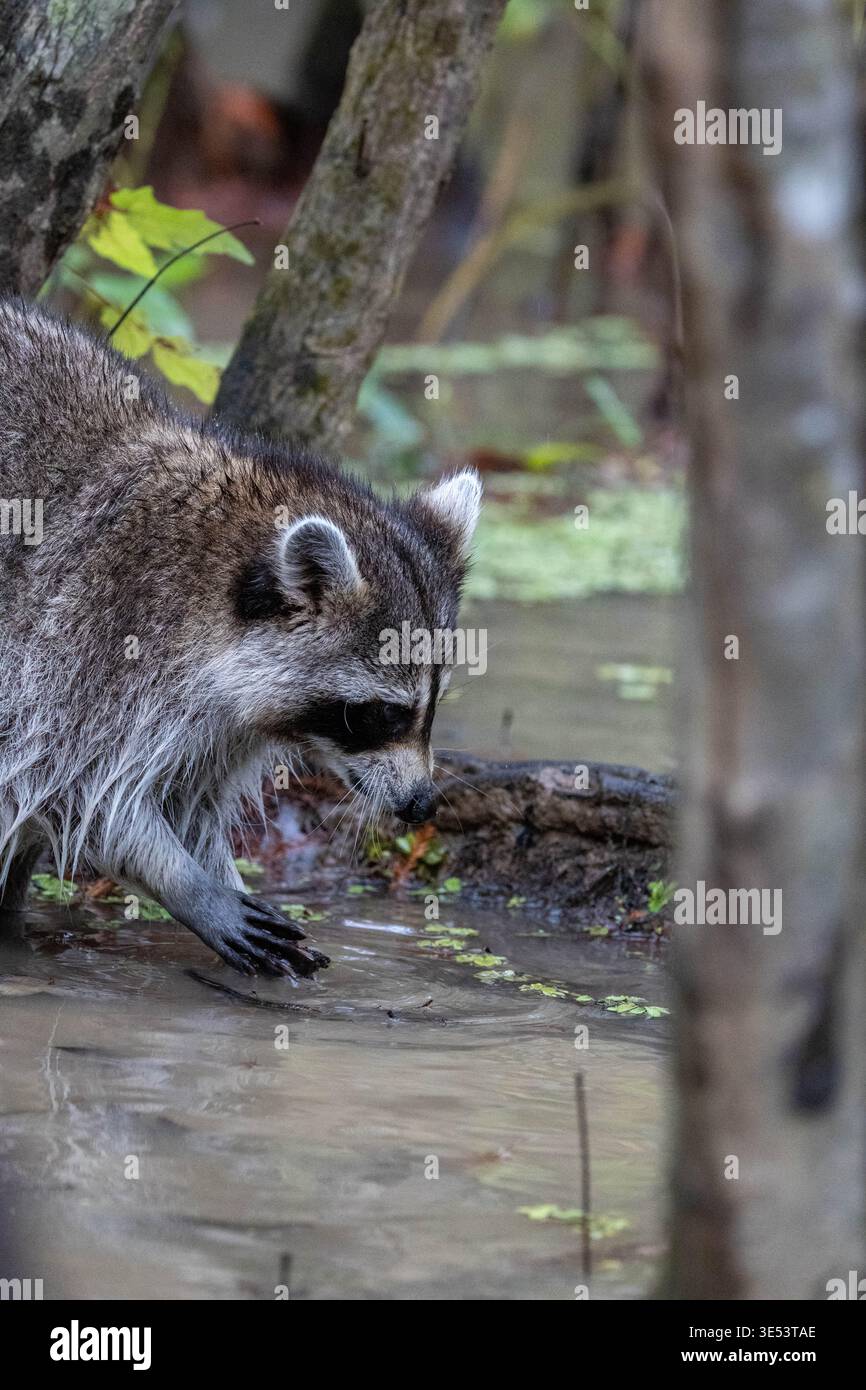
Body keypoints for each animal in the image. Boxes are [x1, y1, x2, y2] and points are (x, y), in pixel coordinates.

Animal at [0, 300, 481, 979]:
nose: (422, 804)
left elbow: (187, 802)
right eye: (380, 714)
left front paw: (210, 870)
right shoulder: (79, 647)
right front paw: (186, 883)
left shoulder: (213, 719)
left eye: (431, 708)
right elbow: (73, 789)